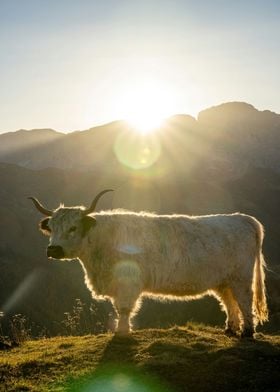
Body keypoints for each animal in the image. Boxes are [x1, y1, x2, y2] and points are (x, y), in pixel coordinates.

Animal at [29, 190, 268, 336]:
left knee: (244, 301)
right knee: (229, 302)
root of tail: (243, 218)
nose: (53, 249)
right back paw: (230, 329)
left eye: (73, 228)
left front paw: (122, 332)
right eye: (52, 228)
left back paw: (247, 332)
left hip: (241, 277)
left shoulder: (128, 282)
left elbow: (124, 308)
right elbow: (118, 307)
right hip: (223, 280)